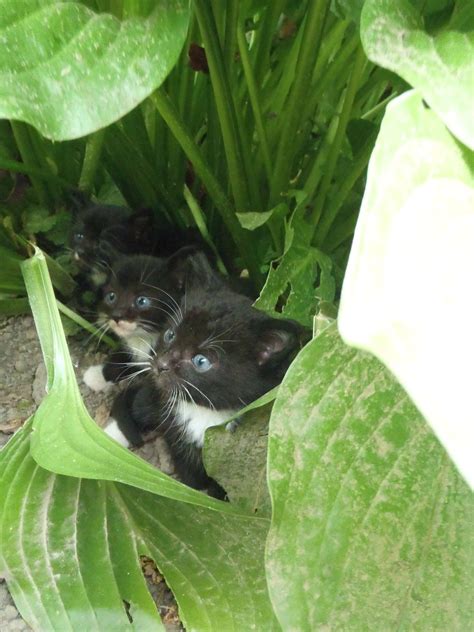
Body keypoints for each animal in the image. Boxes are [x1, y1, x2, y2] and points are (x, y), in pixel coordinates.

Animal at [103, 252, 304, 498]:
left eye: (201, 361)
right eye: (170, 335)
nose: (161, 364)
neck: (203, 412)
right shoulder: (178, 439)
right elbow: (191, 481)